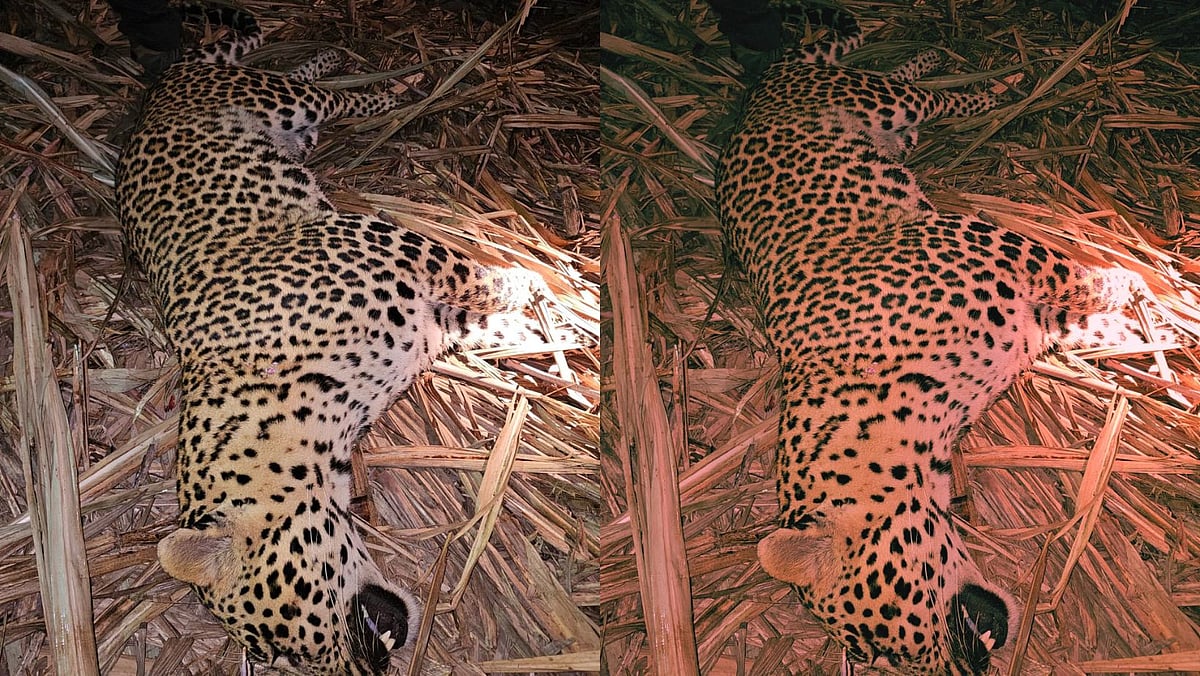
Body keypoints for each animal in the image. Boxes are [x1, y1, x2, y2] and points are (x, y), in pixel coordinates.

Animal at [115, 10, 554, 675]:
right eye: (282, 657)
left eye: (290, 632)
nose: (368, 669)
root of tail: (154, 95)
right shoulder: (429, 320)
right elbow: (485, 322)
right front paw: (546, 329)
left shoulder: (395, 246)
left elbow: (477, 277)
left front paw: (538, 288)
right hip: (279, 113)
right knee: (295, 82)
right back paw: (334, 62)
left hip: (269, 97)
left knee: (327, 94)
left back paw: (394, 84)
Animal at [715, 10, 1155, 675]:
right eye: (878, 656)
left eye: (886, 631)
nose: (967, 669)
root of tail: (755, 96)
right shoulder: (1031, 319)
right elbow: (1087, 325)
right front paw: (1144, 331)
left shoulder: (998, 248)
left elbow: (1079, 276)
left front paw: (1136, 288)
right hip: (871, 103)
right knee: (883, 75)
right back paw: (931, 62)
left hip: (872, 97)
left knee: (928, 93)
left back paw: (998, 82)